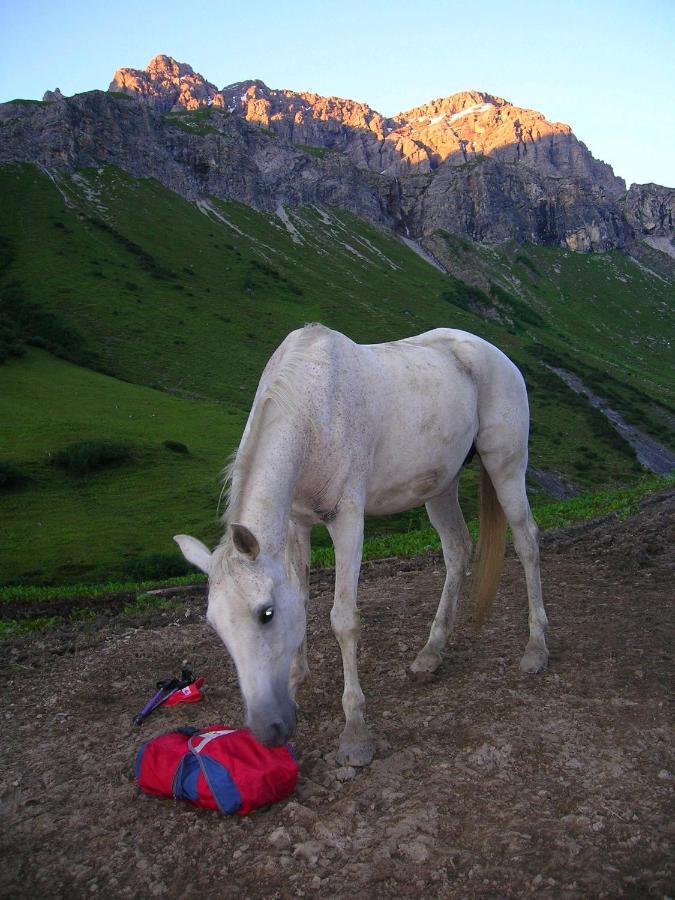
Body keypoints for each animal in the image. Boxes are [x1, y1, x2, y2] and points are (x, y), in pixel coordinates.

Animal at [174, 324, 548, 768]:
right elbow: (301, 598)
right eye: (215, 625)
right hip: (441, 485)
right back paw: (431, 653)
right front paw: (296, 685)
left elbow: (344, 619)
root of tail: (497, 355)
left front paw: (355, 733)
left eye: (265, 614)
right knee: (457, 550)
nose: (269, 729)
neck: (311, 410)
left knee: (527, 542)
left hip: (507, 465)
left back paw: (536, 648)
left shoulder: (348, 520)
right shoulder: (297, 524)